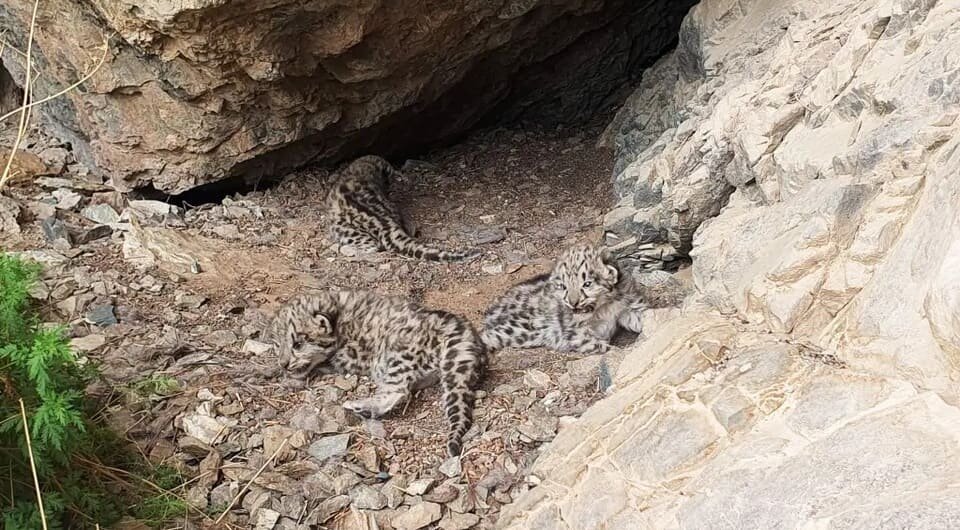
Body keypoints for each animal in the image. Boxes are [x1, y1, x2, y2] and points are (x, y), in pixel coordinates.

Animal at [262, 289, 486, 456]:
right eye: (277, 344)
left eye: (298, 344)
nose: (284, 363)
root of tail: (462, 332)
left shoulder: (351, 355)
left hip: (400, 354)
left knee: (398, 391)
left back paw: (361, 406)